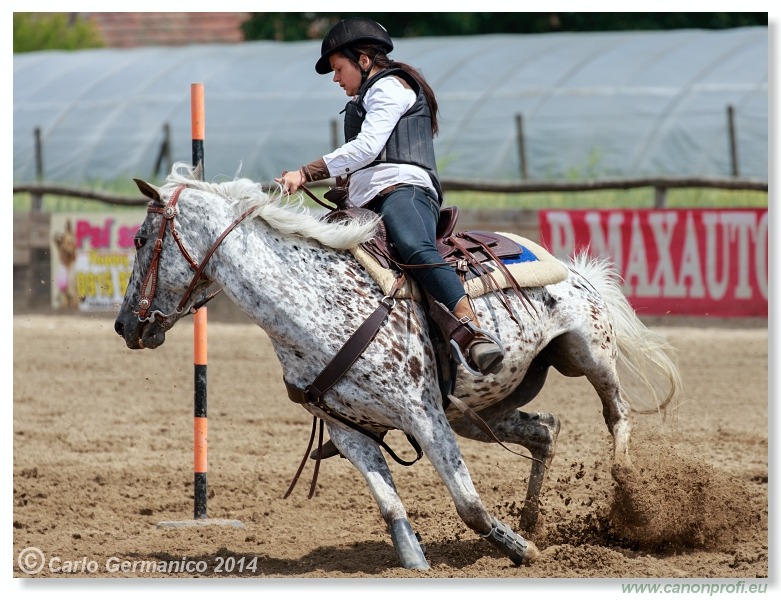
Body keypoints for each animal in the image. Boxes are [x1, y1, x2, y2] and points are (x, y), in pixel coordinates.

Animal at [112, 164, 680, 572]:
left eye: (139, 240)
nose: (123, 325)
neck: (312, 304)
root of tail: (575, 270)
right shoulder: (351, 432)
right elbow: (391, 509)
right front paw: (421, 558)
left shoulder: (423, 416)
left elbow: (468, 504)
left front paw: (521, 551)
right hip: (479, 412)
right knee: (546, 429)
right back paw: (531, 517)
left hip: (588, 352)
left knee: (616, 414)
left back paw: (627, 495)